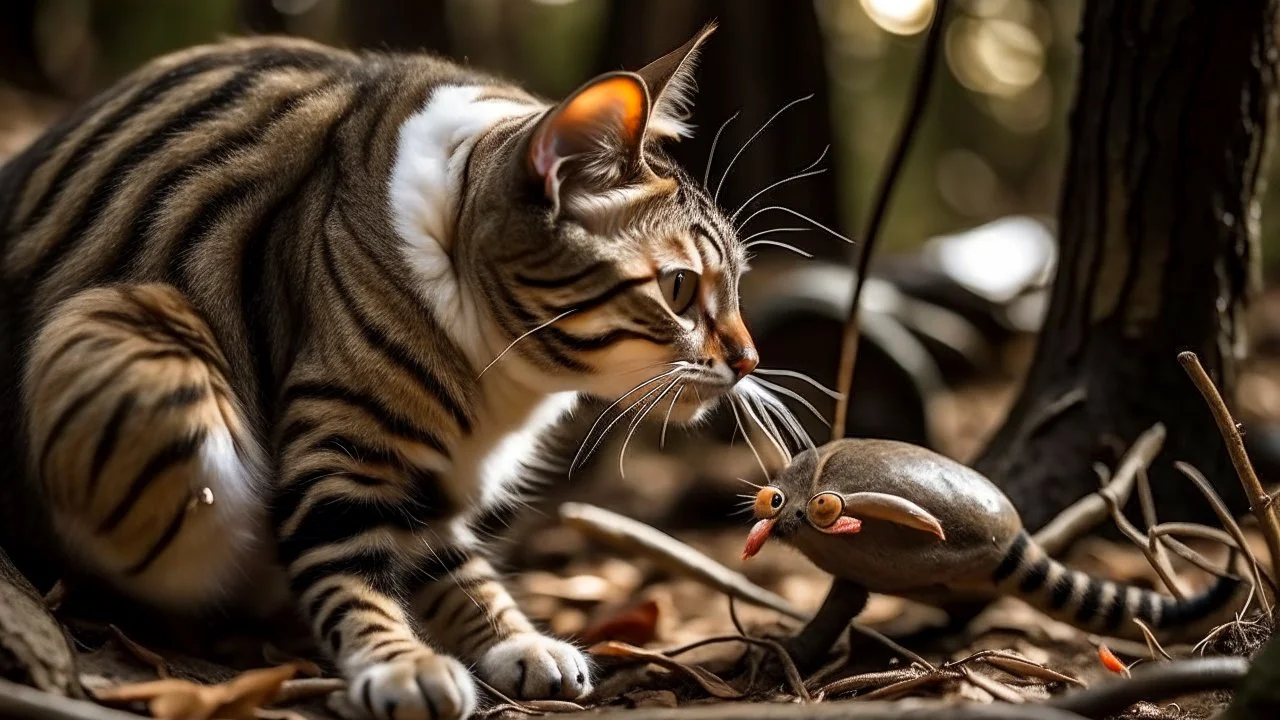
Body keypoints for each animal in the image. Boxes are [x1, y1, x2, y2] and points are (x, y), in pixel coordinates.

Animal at [0, 23, 798, 717]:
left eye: (736, 284)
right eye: (680, 289)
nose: (749, 359)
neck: (503, 381)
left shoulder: (434, 486)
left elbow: (455, 567)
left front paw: (514, 639)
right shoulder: (338, 447)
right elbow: (346, 565)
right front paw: (400, 663)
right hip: (129, 340)